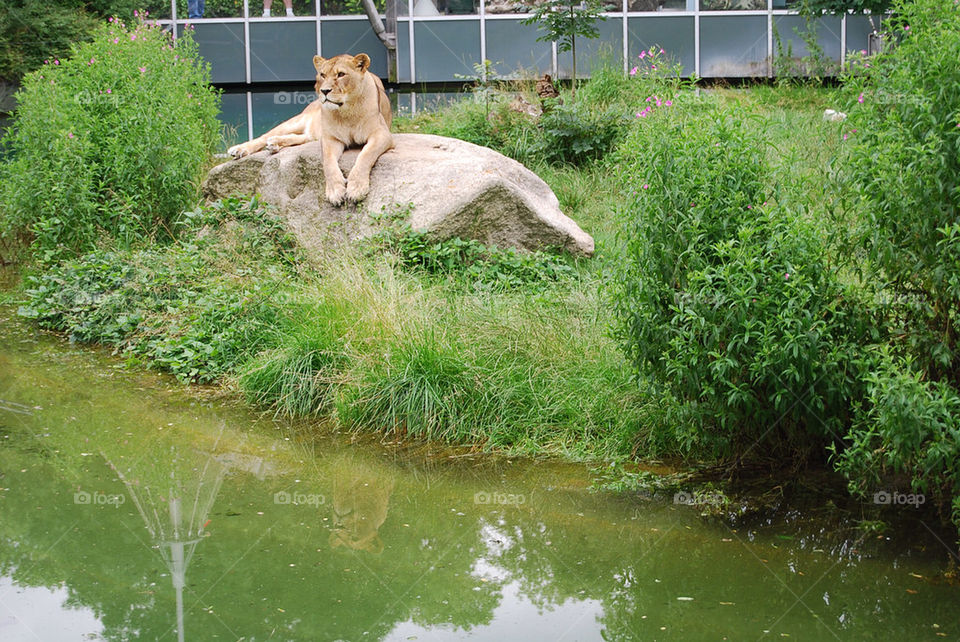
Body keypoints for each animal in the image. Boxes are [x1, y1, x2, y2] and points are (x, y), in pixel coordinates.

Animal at [226, 53, 393, 205]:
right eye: (323, 75)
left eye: (340, 74)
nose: (324, 91)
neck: (347, 112)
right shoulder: (330, 138)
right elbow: (328, 163)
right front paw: (335, 191)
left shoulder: (382, 134)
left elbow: (365, 155)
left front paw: (356, 188)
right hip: (297, 121)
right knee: (264, 137)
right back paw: (240, 149)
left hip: (312, 133)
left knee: (300, 137)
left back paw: (274, 144)